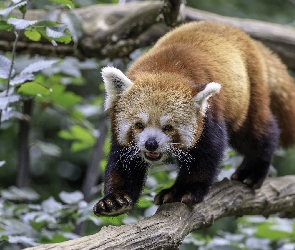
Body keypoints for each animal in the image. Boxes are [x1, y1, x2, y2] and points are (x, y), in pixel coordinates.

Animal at [93, 21, 295, 217]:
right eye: (139, 125)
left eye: (168, 127)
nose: (151, 144)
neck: (165, 70)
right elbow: (123, 162)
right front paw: (116, 200)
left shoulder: (209, 116)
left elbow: (206, 154)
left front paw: (181, 191)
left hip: (249, 91)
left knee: (256, 133)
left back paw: (252, 172)